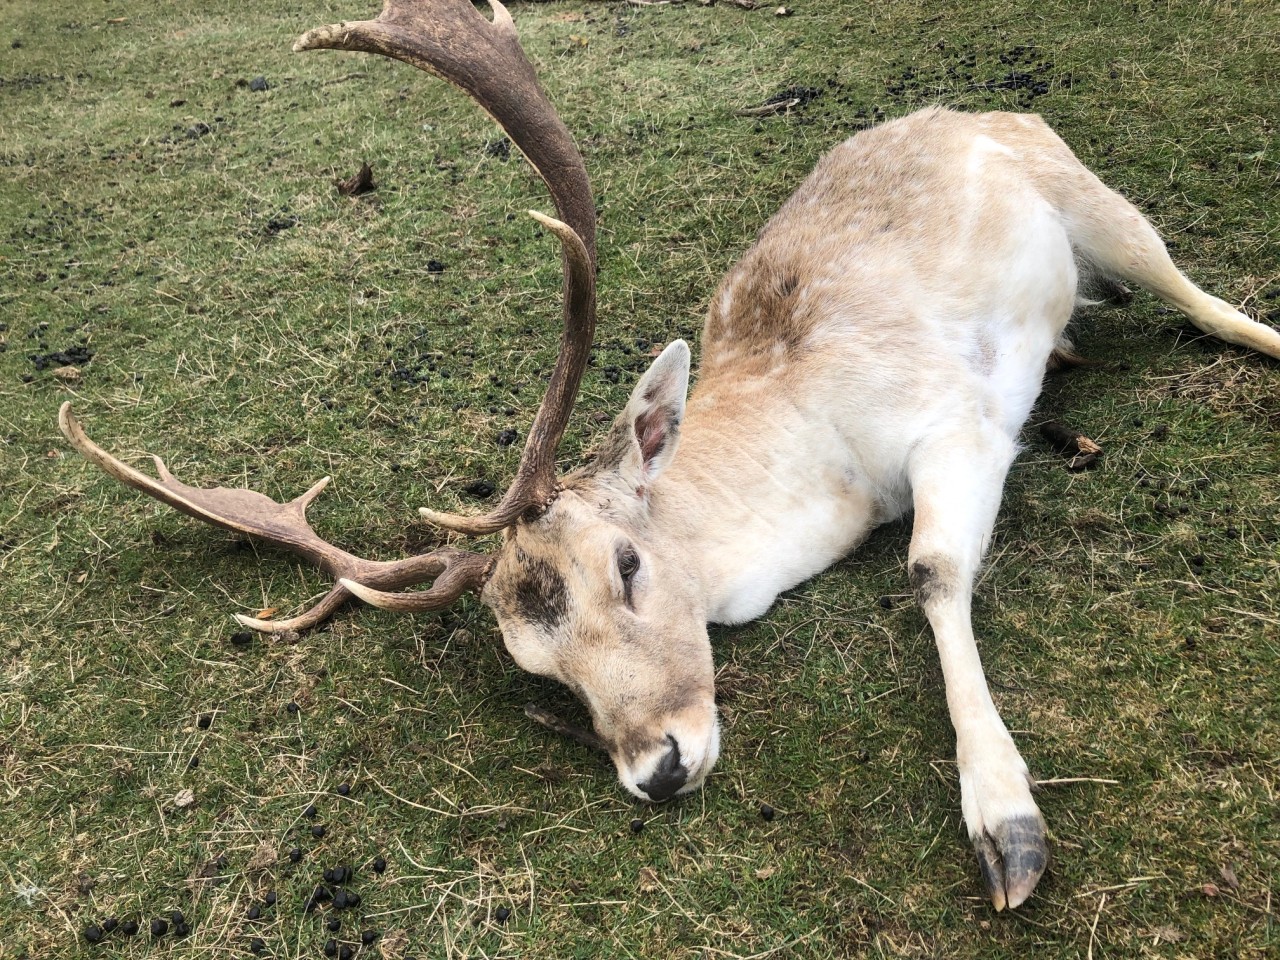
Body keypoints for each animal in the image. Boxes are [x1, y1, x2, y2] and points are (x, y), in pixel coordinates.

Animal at [60, 0, 1280, 916]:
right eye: (536, 668)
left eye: (629, 564)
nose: (659, 768)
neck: (829, 463)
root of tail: (976, 106)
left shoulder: (959, 419)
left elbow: (931, 570)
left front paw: (1007, 829)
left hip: (1097, 202)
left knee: (1205, 302)